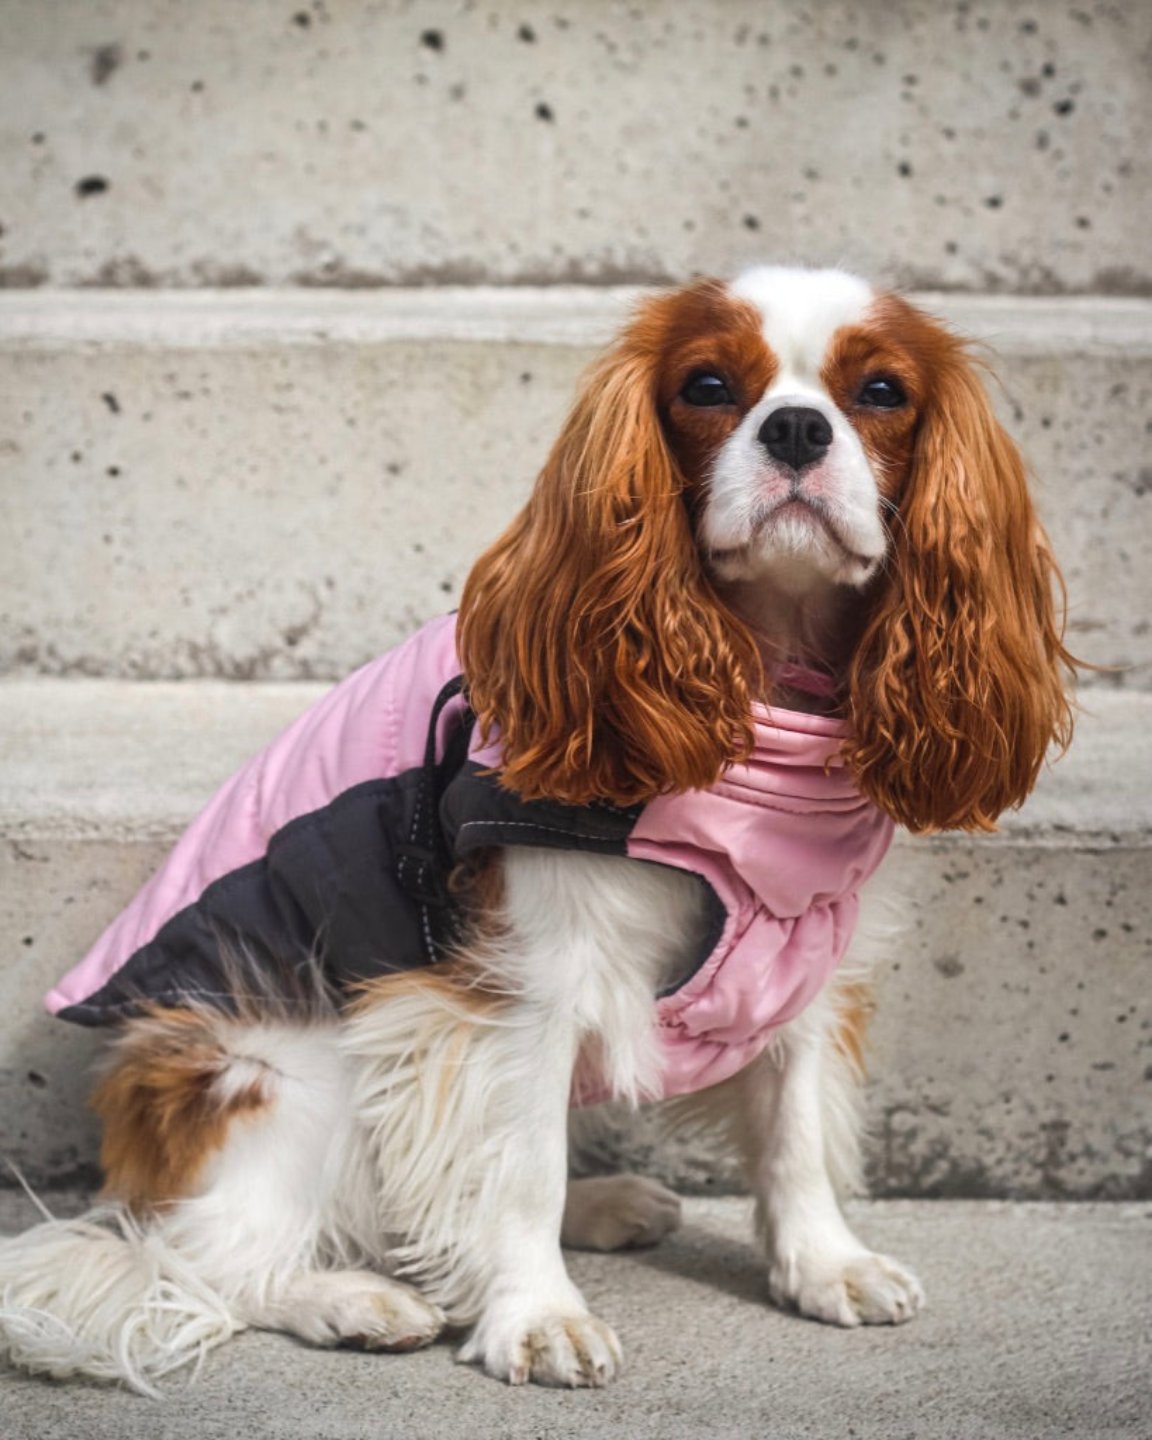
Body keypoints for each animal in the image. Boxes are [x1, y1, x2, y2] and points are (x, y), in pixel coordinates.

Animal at [0, 264, 1071, 1388]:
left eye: (880, 392)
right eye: (706, 385)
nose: (794, 430)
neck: (760, 681)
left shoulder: (800, 942)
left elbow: (795, 1122)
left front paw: (823, 1264)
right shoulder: (521, 986)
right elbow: (517, 1171)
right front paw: (536, 1314)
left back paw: (597, 1209)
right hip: (283, 1067)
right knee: (205, 1261)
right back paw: (347, 1298)